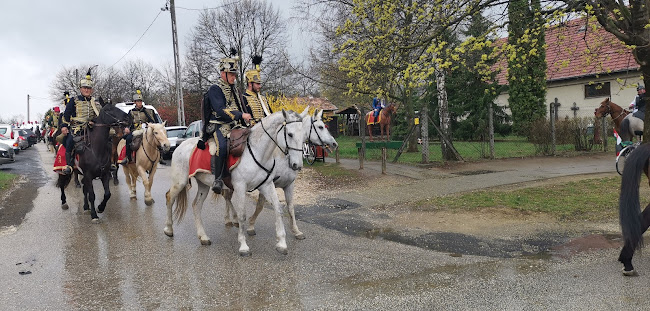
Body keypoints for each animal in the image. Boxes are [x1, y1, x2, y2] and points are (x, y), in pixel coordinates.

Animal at [162, 111, 304, 258]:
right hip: (180, 181)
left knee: (196, 205)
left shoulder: (266, 185)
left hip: (203, 185)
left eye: (304, 134)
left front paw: (282, 243)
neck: (257, 150)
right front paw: (243, 246)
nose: (297, 165)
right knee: (169, 197)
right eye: (290, 134)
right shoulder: (240, 187)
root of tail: (181, 145)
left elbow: (278, 209)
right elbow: (242, 215)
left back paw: (203, 237)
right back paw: (169, 229)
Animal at [220, 108, 336, 240]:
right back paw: (232, 219)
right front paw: (250, 226)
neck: (283, 157)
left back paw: (231, 219)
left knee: (227, 197)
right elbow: (260, 205)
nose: (334, 143)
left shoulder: (288, 185)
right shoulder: (267, 184)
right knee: (227, 197)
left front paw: (296, 231)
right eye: (320, 127)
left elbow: (290, 207)